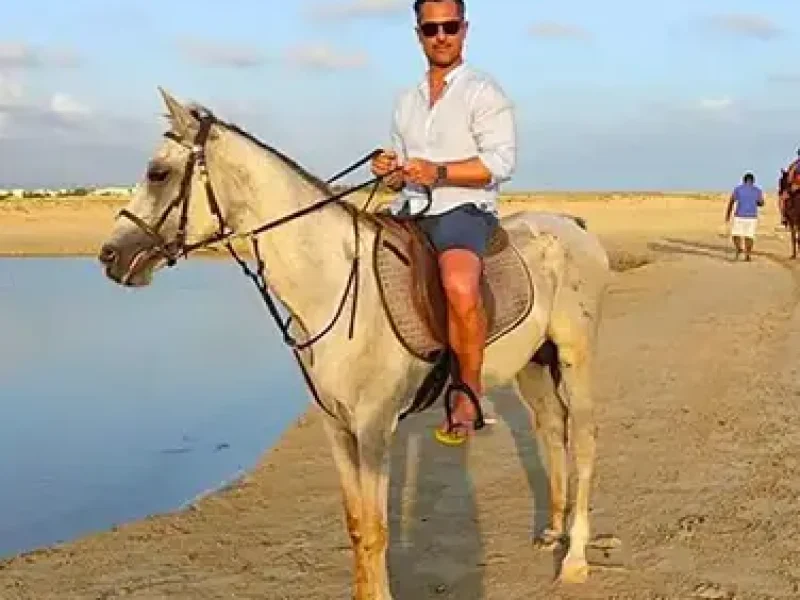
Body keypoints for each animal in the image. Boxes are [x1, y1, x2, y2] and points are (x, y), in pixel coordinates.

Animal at [98, 88, 612, 599]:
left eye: (157, 172)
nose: (109, 255)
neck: (332, 286)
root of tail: (575, 226)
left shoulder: (373, 428)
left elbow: (377, 529)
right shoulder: (337, 427)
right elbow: (356, 527)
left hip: (577, 359)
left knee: (585, 443)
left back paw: (575, 560)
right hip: (534, 367)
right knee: (552, 429)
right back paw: (553, 532)